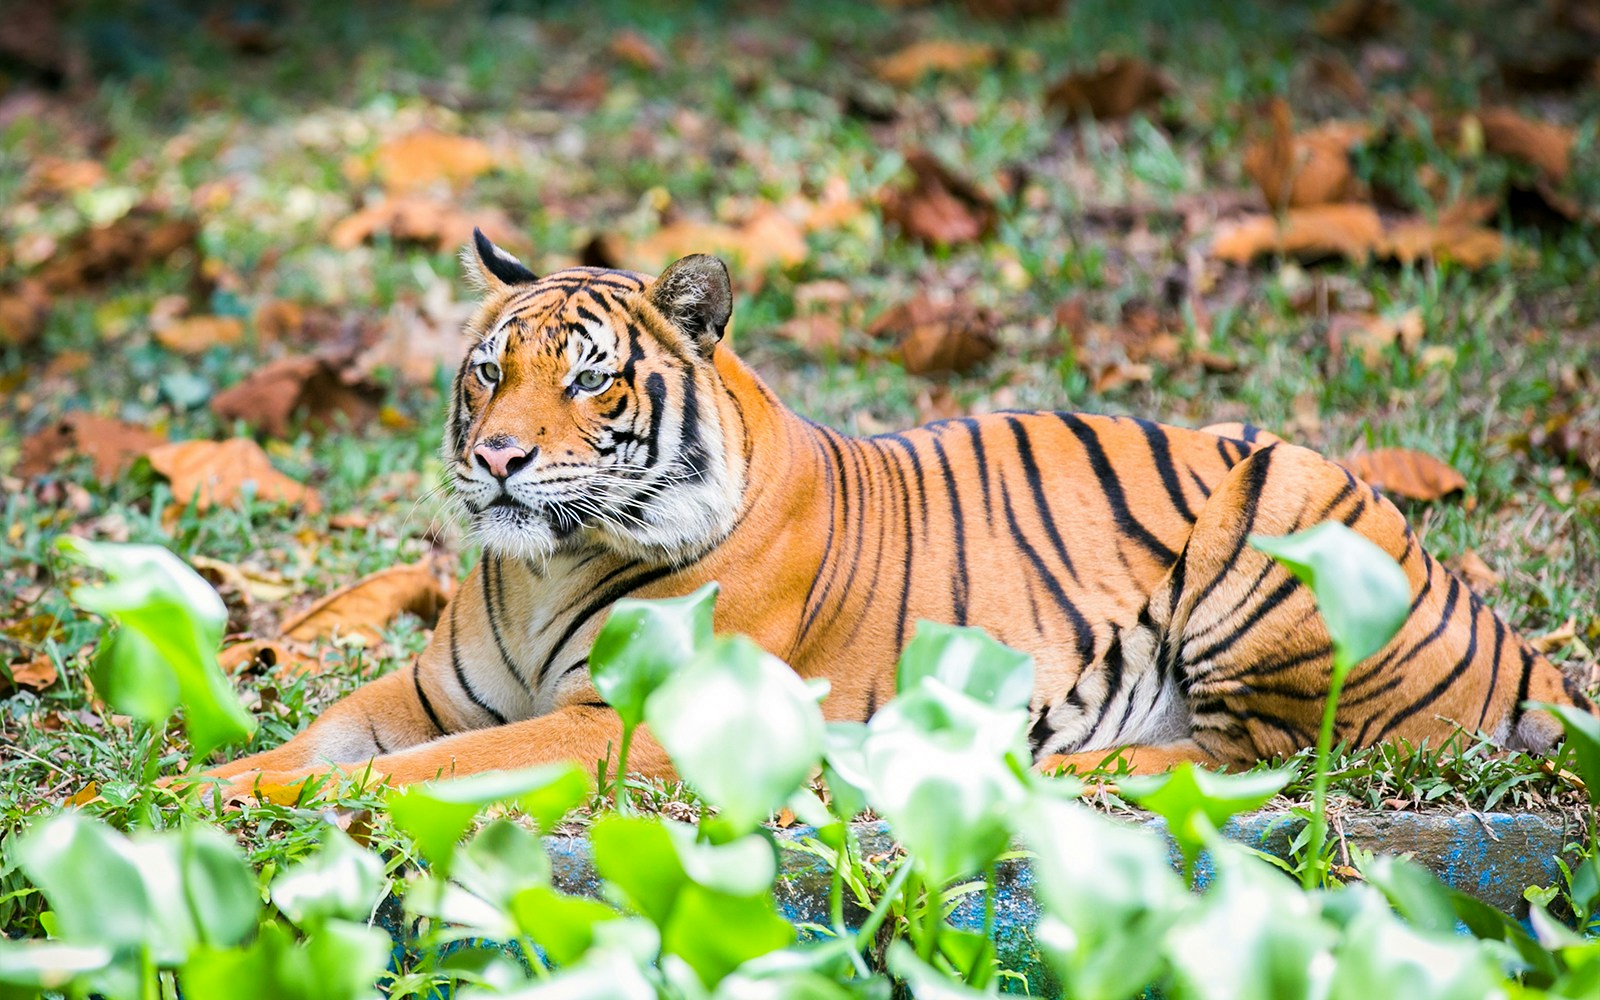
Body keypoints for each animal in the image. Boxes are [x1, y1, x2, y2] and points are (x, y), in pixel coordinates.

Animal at [207, 229, 1595, 794]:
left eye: (591, 378)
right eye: (489, 371)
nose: (496, 458)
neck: (542, 566)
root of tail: (1508, 631)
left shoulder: (623, 724)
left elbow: (420, 774)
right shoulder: (432, 690)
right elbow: (325, 736)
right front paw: (186, 783)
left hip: (1282, 502)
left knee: (1256, 755)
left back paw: (1053, 766)